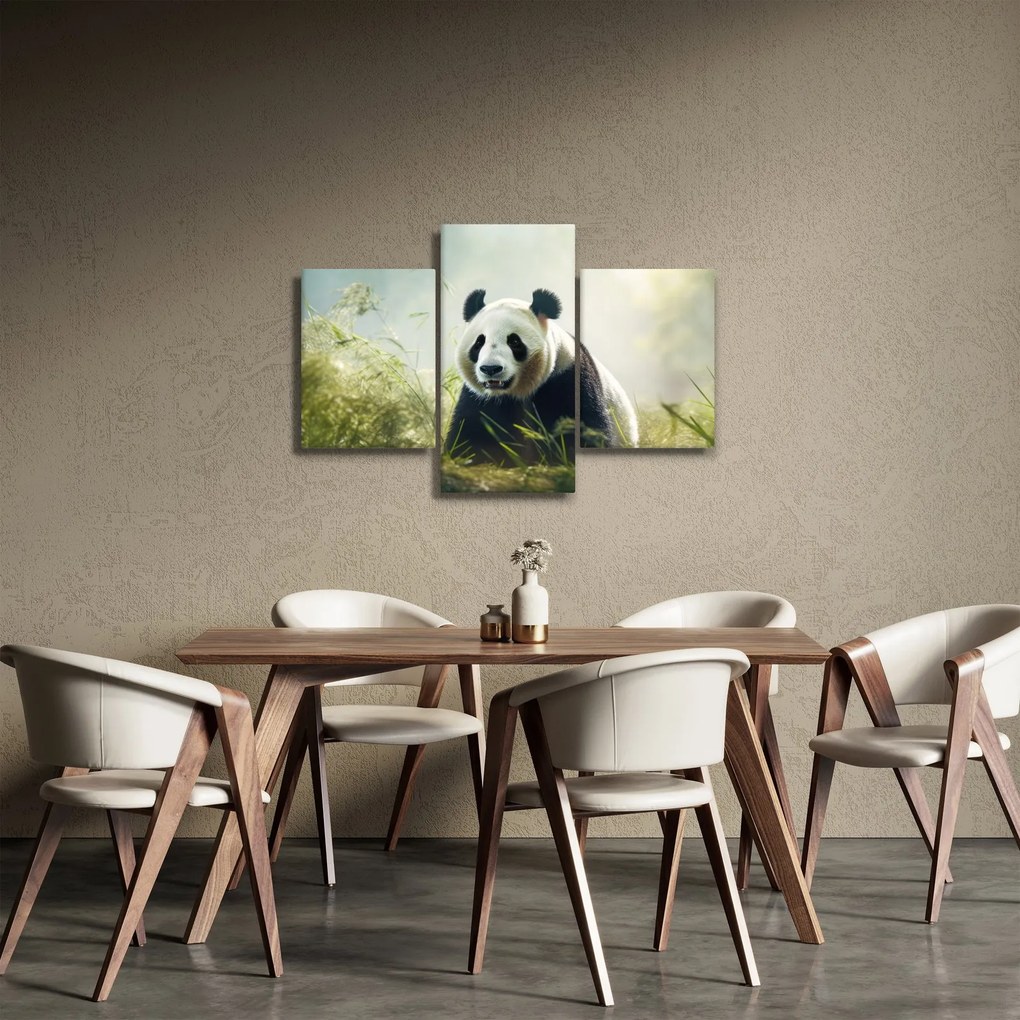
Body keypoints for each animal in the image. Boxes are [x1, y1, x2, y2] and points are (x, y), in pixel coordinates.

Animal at [444, 287, 638, 464]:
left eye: (514, 341)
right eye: (479, 342)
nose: (491, 369)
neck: (516, 392)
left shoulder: (568, 379)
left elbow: (584, 429)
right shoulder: (479, 398)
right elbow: (471, 432)